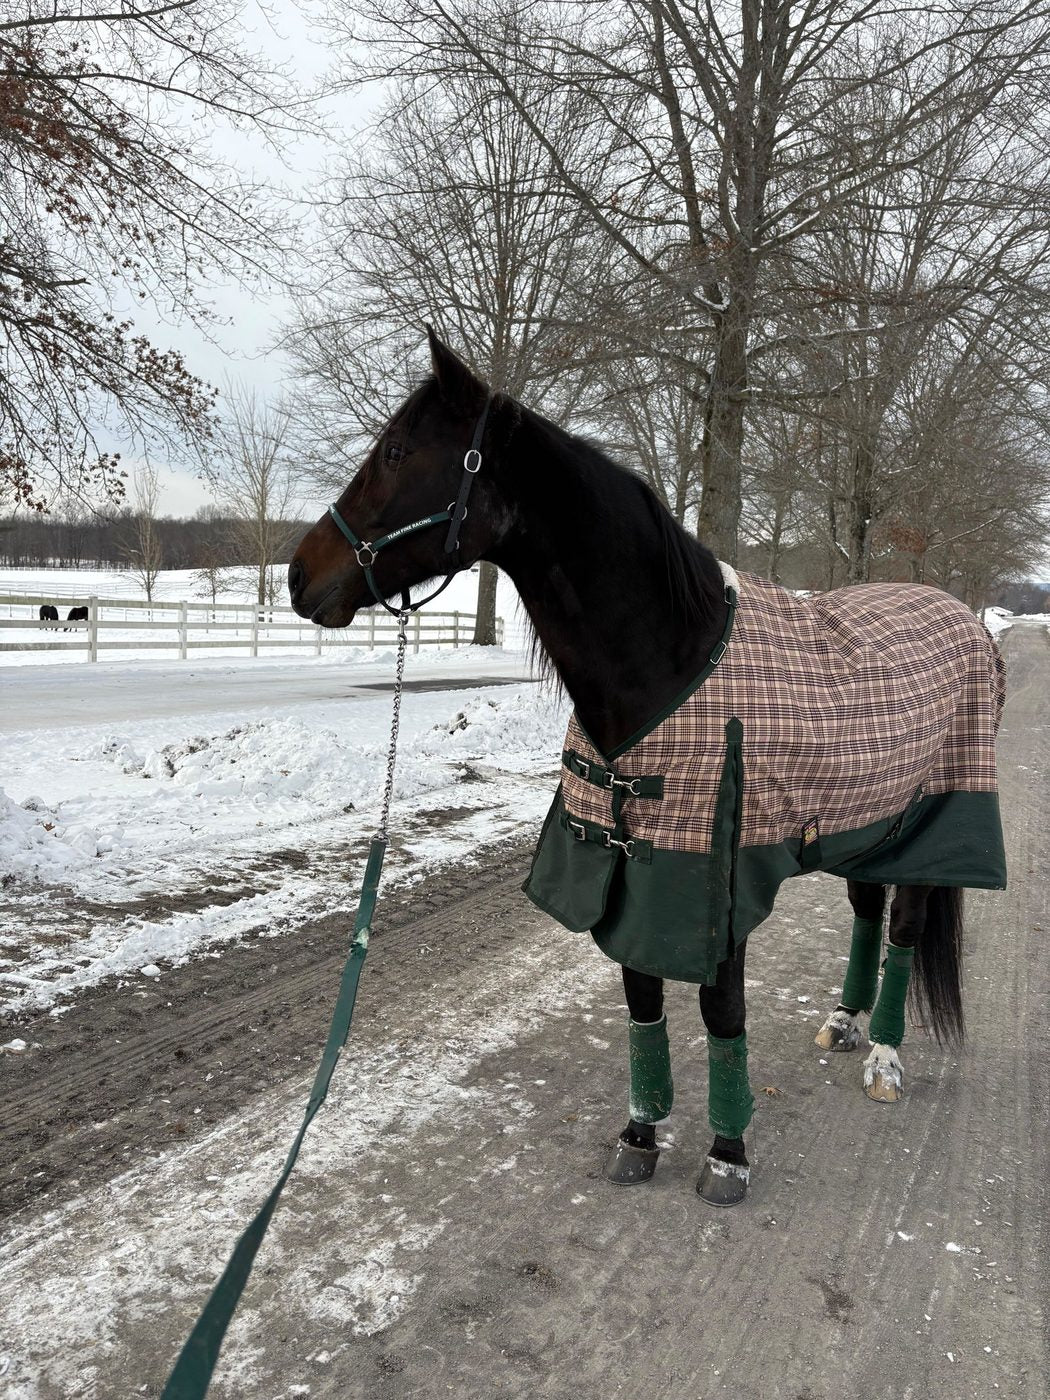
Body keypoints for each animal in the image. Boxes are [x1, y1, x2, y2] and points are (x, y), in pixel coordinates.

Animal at [288, 330, 1006, 1207]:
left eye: (396, 451)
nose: (298, 575)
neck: (672, 656)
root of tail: (964, 619)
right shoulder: (632, 864)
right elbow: (641, 999)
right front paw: (640, 1135)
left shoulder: (714, 878)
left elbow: (722, 1012)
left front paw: (727, 1155)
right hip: (863, 821)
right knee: (867, 912)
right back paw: (843, 1024)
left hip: (926, 829)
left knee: (902, 928)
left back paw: (885, 1060)